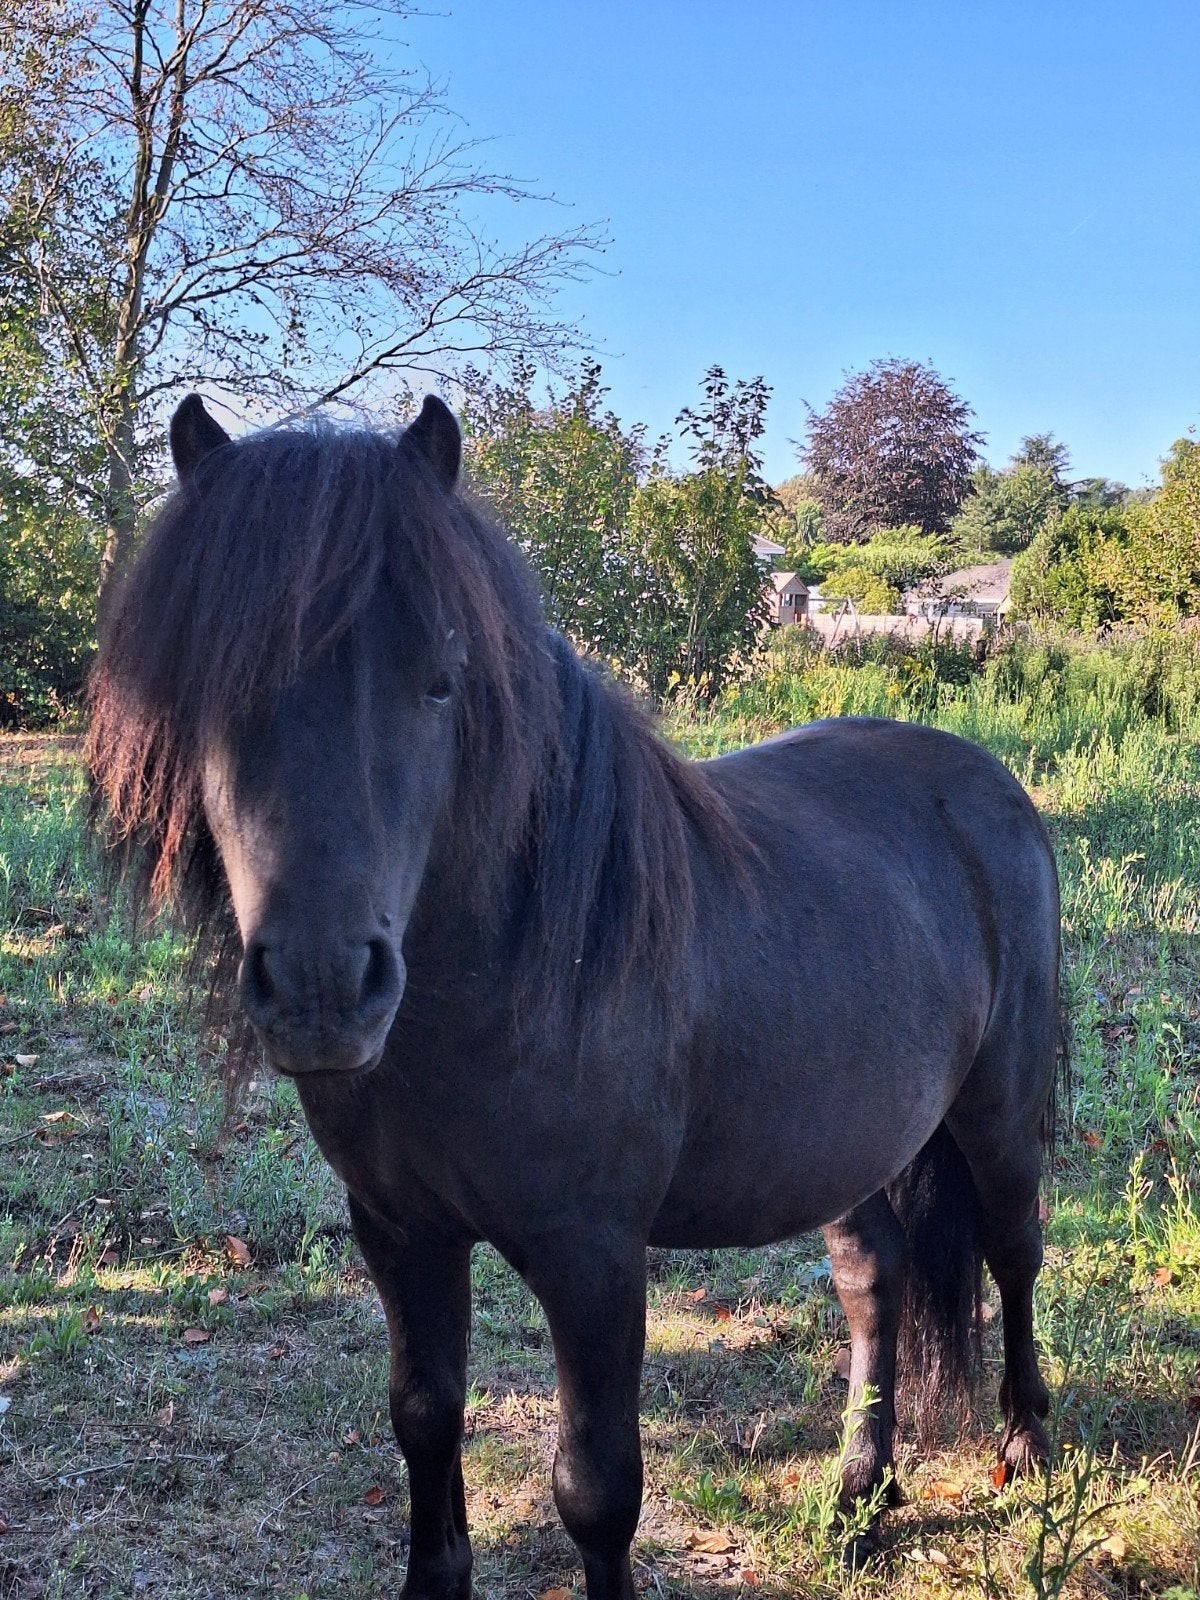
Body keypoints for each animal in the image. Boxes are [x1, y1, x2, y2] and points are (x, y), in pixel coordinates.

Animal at [88, 393, 1062, 1599]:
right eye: (208, 686)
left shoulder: (592, 1257)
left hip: (995, 1113)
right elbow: (424, 1418)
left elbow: (597, 1490)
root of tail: (986, 781)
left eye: (441, 679)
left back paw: (1025, 1449)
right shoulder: (399, 1230)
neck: (510, 982)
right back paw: (859, 1497)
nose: (321, 988)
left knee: (1016, 1250)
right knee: (873, 1279)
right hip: (844, 1134)